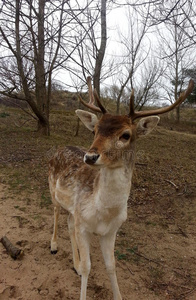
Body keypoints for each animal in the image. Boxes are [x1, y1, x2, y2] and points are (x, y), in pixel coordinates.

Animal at [48, 78, 193, 300]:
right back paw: (54, 246)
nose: (90, 156)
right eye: (95, 130)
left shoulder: (111, 231)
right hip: (51, 187)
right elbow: (89, 267)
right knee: (55, 212)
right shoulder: (84, 226)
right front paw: (82, 276)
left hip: (73, 209)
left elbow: (111, 266)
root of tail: (59, 149)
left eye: (126, 135)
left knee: (69, 223)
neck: (103, 213)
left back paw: (75, 265)